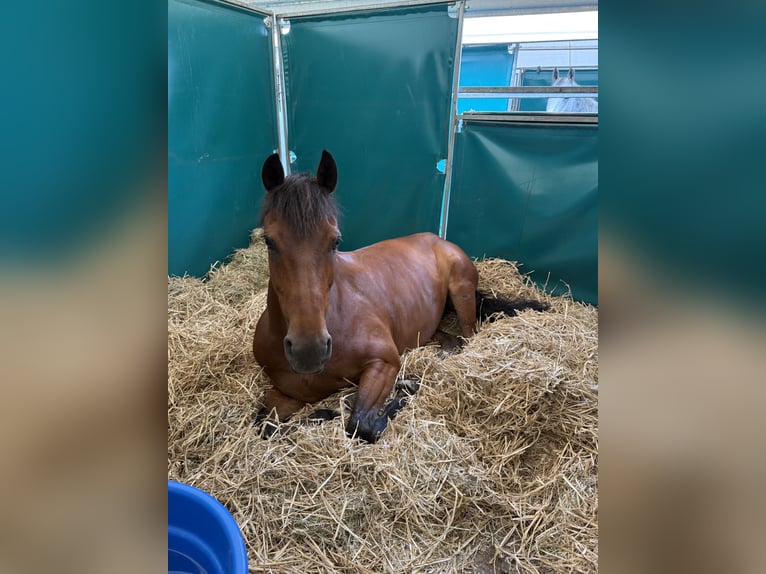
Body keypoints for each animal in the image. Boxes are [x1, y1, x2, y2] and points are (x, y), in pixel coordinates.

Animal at [253, 151, 548, 443]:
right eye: (269, 240)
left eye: (335, 240)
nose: (309, 350)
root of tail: (437, 240)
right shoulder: (286, 394)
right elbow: (265, 427)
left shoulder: (384, 362)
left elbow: (362, 424)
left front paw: (405, 386)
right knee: (447, 338)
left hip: (461, 292)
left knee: (467, 336)